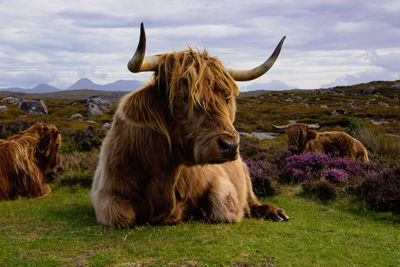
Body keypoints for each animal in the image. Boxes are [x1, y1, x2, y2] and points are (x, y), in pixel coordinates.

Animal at [92, 23, 290, 229]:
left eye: (226, 97)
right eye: (181, 97)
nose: (231, 145)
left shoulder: (222, 183)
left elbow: (221, 208)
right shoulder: (107, 194)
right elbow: (121, 216)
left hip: (244, 171)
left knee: (252, 200)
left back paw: (275, 212)